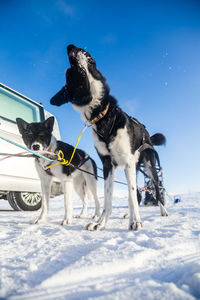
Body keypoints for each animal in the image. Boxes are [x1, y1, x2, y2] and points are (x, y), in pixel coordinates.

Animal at [50, 44, 169, 231]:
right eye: (69, 78)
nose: (70, 46)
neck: (102, 116)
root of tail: (147, 134)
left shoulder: (127, 162)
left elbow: (133, 195)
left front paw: (137, 221)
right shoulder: (107, 164)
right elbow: (108, 197)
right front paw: (101, 222)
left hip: (149, 167)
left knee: (154, 189)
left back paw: (161, 211)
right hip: (133, 168)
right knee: (133, 192)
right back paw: (128, 216)